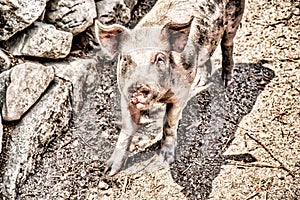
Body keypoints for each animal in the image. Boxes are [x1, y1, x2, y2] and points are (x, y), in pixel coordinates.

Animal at [95, 0, 245, 175]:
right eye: (126, 59)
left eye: (160, 58)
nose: (139, 86)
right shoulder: (125, 97)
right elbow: (126, 130)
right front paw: (108, 170)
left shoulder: (180, 95)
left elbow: (169, 123)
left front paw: (166, 160)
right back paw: (200, 82)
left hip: (234, 18)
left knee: (227, 43)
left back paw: (227, 80)